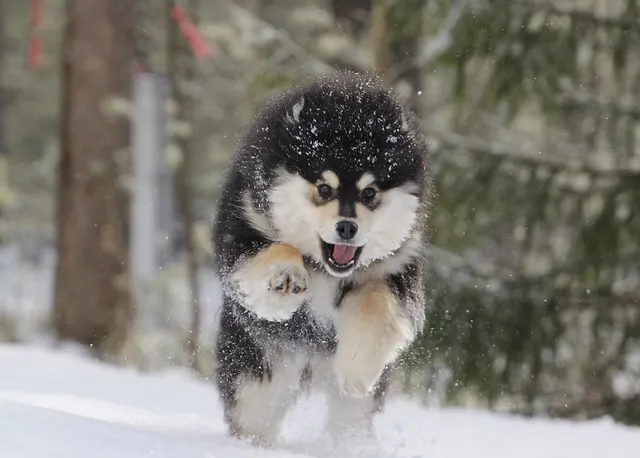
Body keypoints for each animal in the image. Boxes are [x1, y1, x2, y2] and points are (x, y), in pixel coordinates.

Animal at [212, 71, 432, 448]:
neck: (325, 269)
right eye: (324, 188)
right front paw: (285, 275)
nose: (346, 227)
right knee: (254, 412)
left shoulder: (394, 270)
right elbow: (274, 251)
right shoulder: (242, 232)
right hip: (255, 366)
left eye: (369, 193)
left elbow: (377, 307)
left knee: (349, 416)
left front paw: (357, 366)